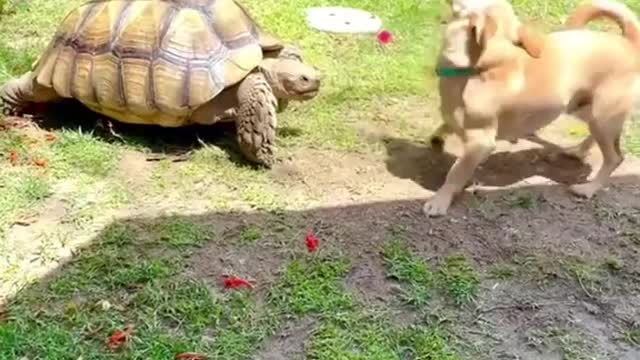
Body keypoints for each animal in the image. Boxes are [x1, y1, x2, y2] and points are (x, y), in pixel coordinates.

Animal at [424, 0, 640, 217]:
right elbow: (445, 124)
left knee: (615, 158)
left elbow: (456, 172)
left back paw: (588, 188)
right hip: (586, 110)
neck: (482, 67)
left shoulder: (481, 143)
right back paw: (577, 151)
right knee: (597, 138)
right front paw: (438, 137)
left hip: (603, 118)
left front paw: (440, 201)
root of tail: (630, 44)